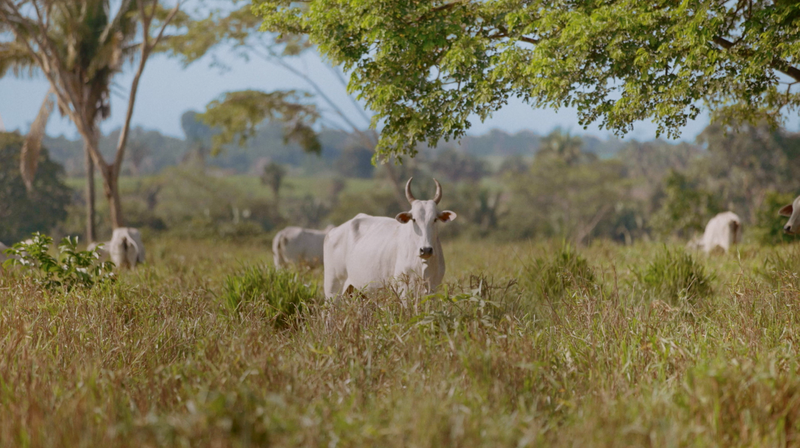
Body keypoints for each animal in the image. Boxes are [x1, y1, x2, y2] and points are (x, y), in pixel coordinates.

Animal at [320, 177, 456, 300]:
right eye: (414, 219)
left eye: (435, 219)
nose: (426, 250)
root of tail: (332, 231)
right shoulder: (403, 290)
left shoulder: (433, 288)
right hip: (332, 291)